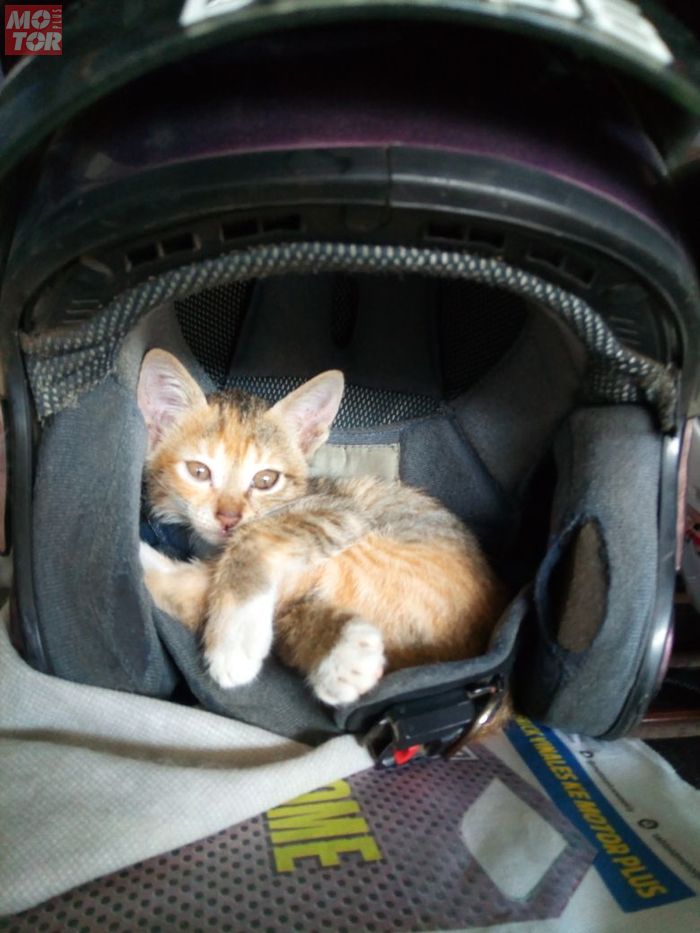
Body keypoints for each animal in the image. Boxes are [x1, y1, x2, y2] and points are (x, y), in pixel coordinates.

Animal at [137, 349, 508, 714]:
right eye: (199, 471)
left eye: (265, 479)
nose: (229, 518)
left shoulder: (342, 512)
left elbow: (253, 537)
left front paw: (235, 641)